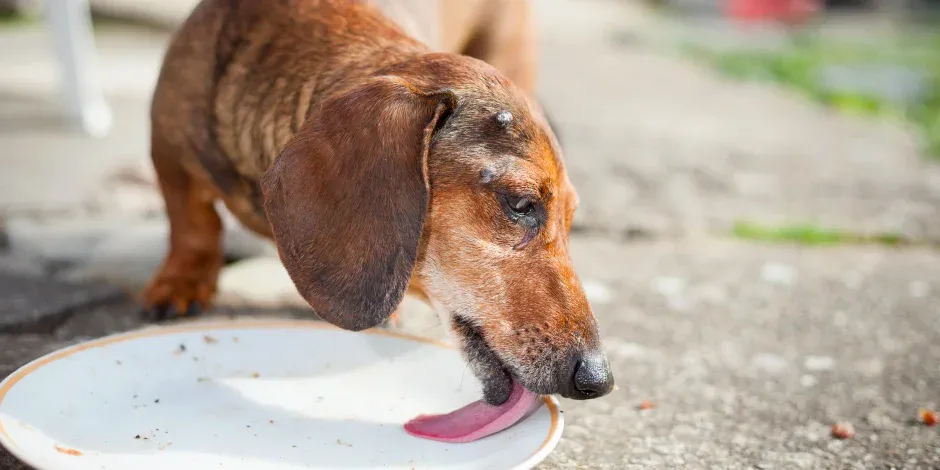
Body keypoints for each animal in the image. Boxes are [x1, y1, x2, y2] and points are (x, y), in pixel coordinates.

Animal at [143, 0, 612, 404]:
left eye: (571, 218)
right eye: (520, 203)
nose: (599, 379)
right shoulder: (167, 148)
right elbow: (193, 222)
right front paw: (181, 283)